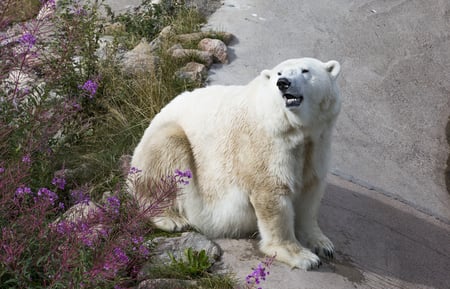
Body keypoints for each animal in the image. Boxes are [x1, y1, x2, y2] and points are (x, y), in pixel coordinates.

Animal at [129, 57, 342, 268]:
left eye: (305, 71)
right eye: (279, 74)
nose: (283, 83)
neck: (294, 128)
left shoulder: (317, 142)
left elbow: (310, 193)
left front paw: (323, 244)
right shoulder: (265, 143)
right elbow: (272, 193)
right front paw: (302, 257)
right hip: (161, 149)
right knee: (167, 149)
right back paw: (171, 218)